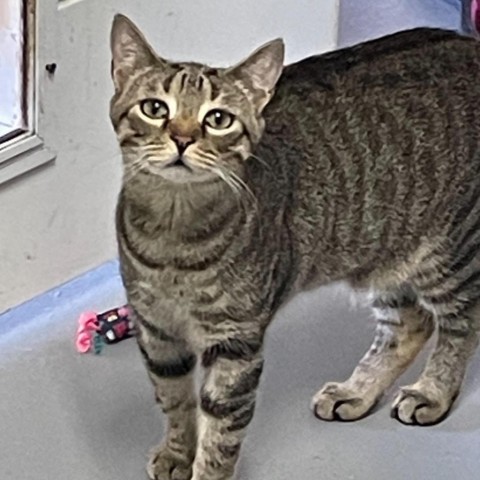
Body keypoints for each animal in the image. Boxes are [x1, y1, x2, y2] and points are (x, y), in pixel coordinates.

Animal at [110, 13, 480, 478]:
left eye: (218, 119)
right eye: (155, 109)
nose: (182, 139)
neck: (173, 237)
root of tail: (470, 44)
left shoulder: (236, 341)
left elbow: (221, 429)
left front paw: (205, 469)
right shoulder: (156, 331)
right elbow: (174, 400)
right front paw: (178, 453)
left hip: (447, 250)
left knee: (460, 321)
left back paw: (432, 392)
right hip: (381, 250)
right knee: (411, 322)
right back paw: (357, 391)